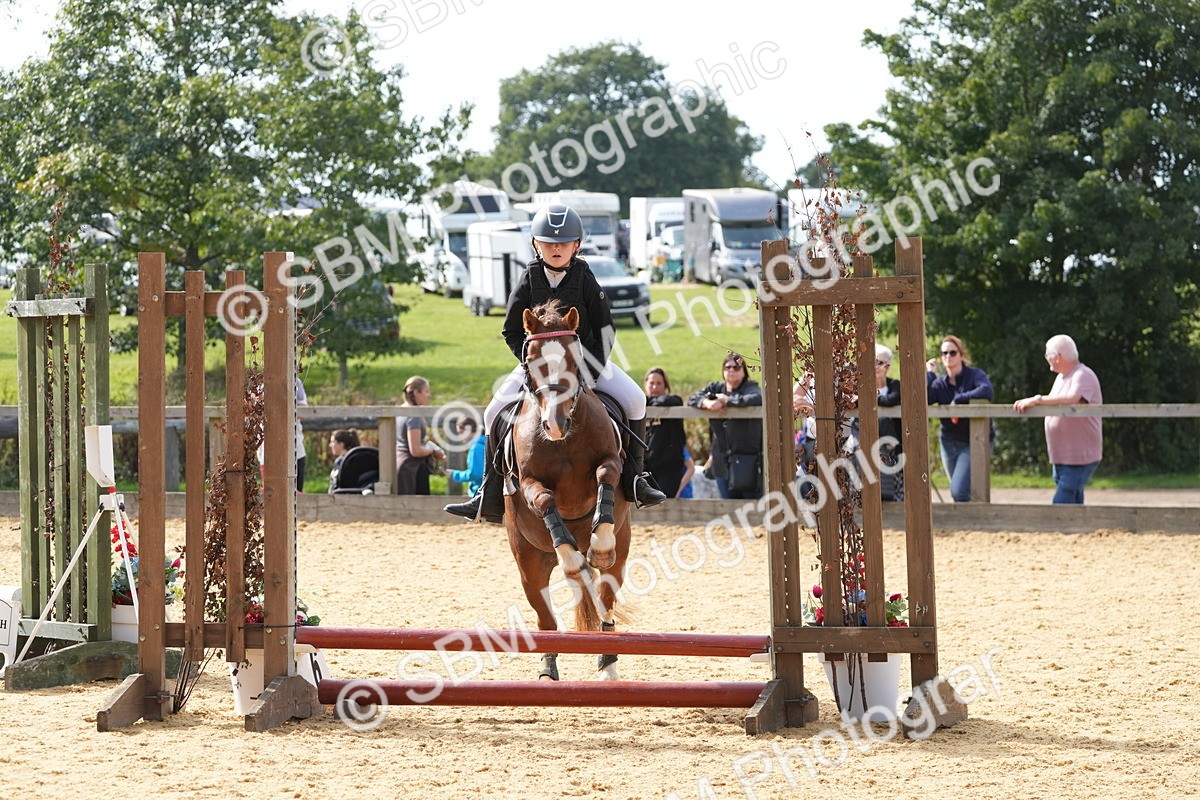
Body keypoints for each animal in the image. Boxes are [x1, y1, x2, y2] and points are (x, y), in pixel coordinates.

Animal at [505, 299, 631, 681]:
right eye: (532, 360)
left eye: (575, 359)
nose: (554, 425)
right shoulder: (529, 482)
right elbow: (545, 498)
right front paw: (571, 557)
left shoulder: (611, 461)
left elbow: (605, 475)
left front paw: (599, 545)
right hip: (529, 564)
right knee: (546, 619)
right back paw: (548, 668)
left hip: (622, 552)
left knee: (605, 600)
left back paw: (608, 664)